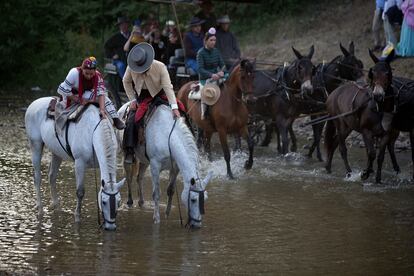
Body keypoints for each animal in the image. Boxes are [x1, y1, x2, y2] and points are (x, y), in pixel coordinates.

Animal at [25, 97, 125, 231]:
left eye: (118, 201)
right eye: (104, 202)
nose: (110, 227)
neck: (93, 132)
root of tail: (34, 103)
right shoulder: (79, 163)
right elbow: (80, 192)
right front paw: (77, 217)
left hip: (56, 152)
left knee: (52, 176)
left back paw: (57, 206)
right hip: (35, 144)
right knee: (37, 178)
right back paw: (40, 208)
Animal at [326, 49, 396, 179]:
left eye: (387, 73)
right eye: (372, 73)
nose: (378, 95)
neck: (379, 108)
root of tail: (332, 94)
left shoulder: (385, 134)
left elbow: (380, 157)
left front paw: (378, 179)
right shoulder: (366, 131)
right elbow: (371, 153)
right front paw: (365, 173)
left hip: (348, 127)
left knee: (334, 143)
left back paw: (328, 167)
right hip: (339, 123)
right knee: (341, 148)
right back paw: (348, 172)